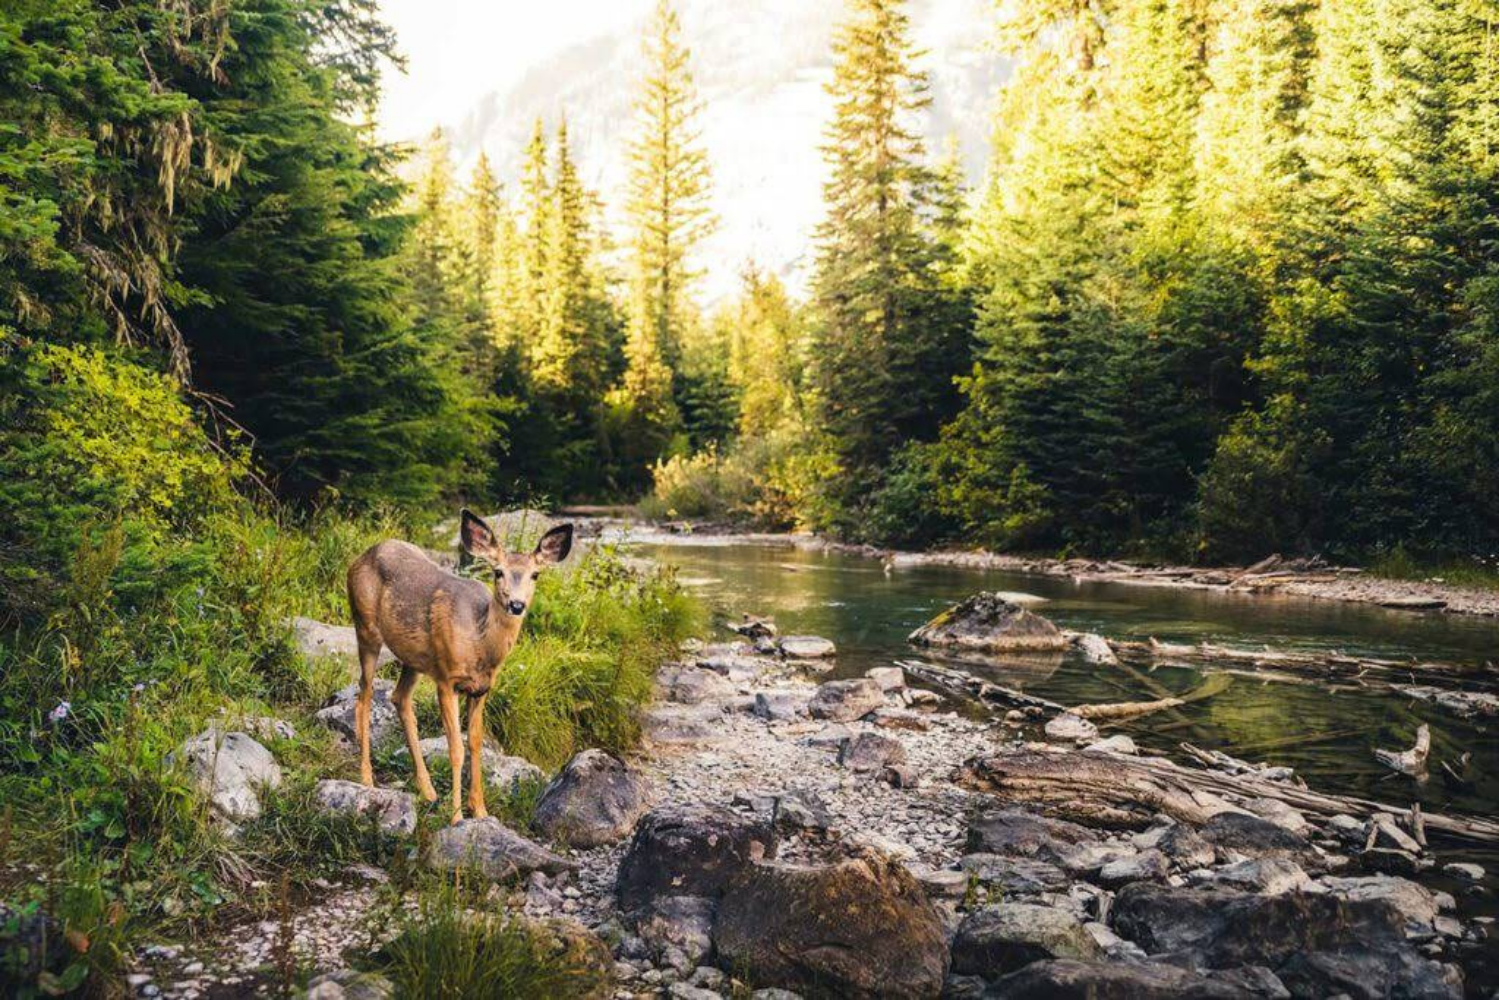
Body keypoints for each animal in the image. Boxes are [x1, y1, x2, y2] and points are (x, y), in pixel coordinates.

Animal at [345, 510, 574, 824]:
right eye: (498, 571)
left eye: (535, 574)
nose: (516, 604)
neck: (479, 645)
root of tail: (360, 557)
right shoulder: (446, 680)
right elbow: (456, 748)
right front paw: (456, 817)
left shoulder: (481, 689)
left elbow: (476, 743)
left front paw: (480, 810)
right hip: (365, 626)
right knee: (364, 696)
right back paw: (367, 778)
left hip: (414, 659)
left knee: (399, 698)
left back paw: (428, 790)